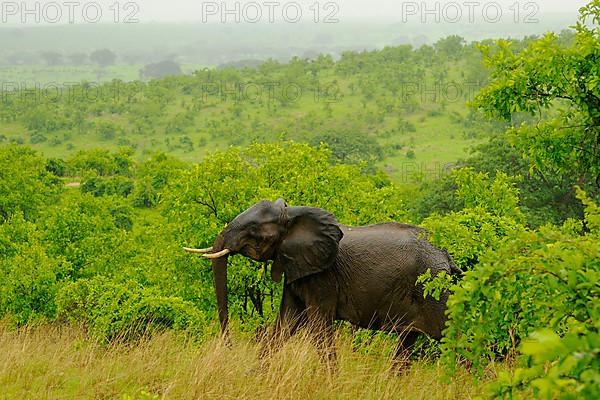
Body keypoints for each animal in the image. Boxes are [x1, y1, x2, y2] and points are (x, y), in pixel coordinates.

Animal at [185, 198, 462, 370]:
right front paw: (253, 376)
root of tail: (446, 256)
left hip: (434, 290)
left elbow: (318, 326)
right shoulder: (297, 269)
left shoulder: (323, 277)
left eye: (253, 232)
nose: (229, 348)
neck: (293, 215)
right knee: (407, 342)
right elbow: (285, 324)